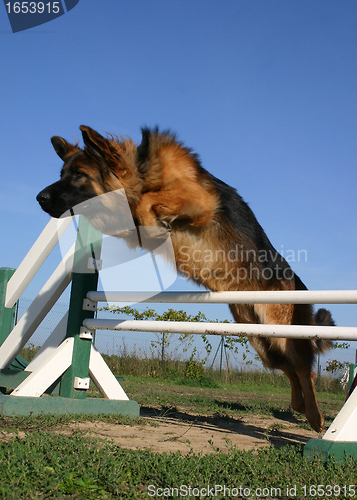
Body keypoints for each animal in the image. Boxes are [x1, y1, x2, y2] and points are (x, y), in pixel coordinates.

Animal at [37, 124, 332, 430]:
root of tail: (297, 283)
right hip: (262, 340)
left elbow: (148, 201)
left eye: (79, 175)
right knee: (290, 370)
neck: (144, 171)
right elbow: (141, 211)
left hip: (281, 331)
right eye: (62, 173)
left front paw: (155, 222)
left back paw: (315, 416)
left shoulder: (199, 200)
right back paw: (299, 406)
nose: (39, 198)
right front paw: (152, 225)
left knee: (305, 369)